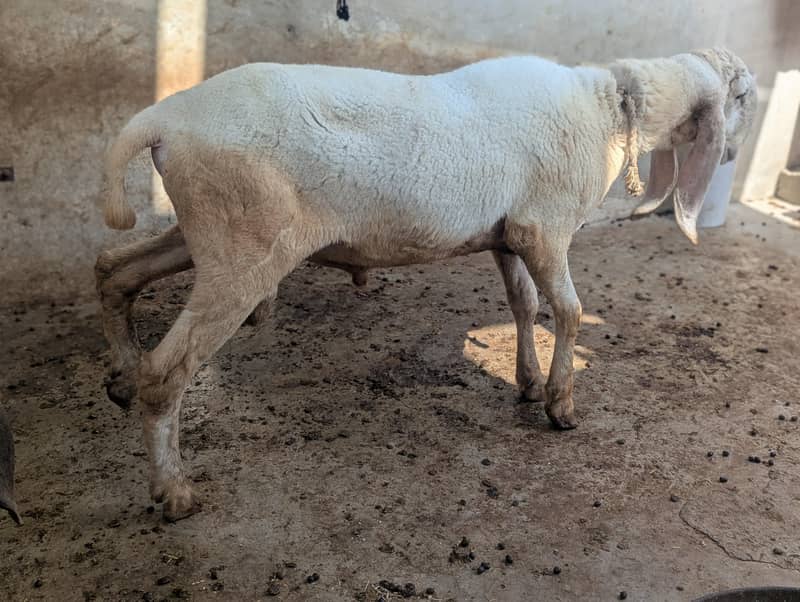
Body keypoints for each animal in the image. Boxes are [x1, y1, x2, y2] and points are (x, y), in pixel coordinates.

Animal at [96, 48, 757, 521]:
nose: (731, 156)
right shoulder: (545, 227)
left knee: (113, 271)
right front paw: (560, 404)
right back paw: (173, 490)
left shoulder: (509, 235)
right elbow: (568, 313)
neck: (609, 109)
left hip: (205, 233)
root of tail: (163, 119)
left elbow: (523, 305)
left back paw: (120, 379)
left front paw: (526, 382)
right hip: (243, 248)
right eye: (743, 97)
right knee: (167, 371)